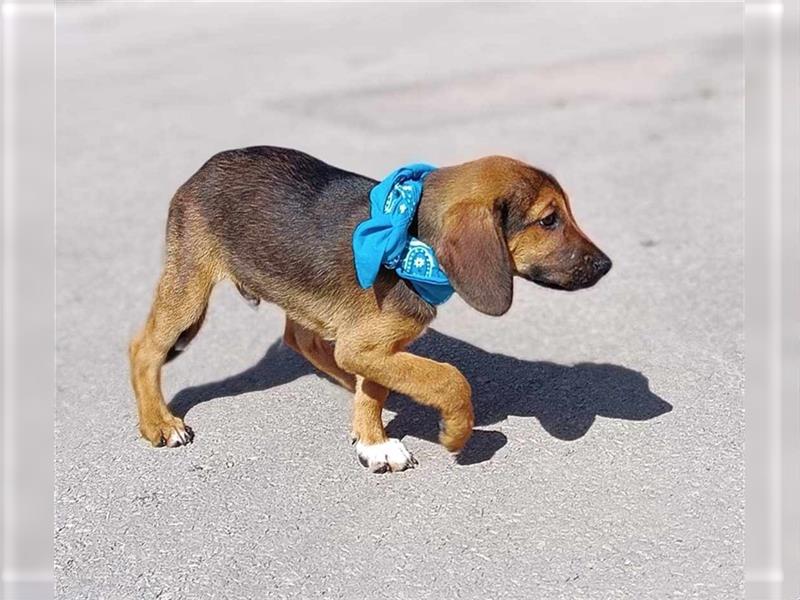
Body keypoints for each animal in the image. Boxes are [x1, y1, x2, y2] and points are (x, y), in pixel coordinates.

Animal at [128, 148, 608, 472]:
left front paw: (373, 439)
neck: (412, 241)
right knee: (144, 349)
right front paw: (455, 433)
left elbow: (377, 386)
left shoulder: (372, 345)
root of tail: (202, 170)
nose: (606, 265)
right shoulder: (368, 346)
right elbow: (450, 378)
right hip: (189, 286)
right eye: (549, 220)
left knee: (303, 339)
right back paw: (159, 423)